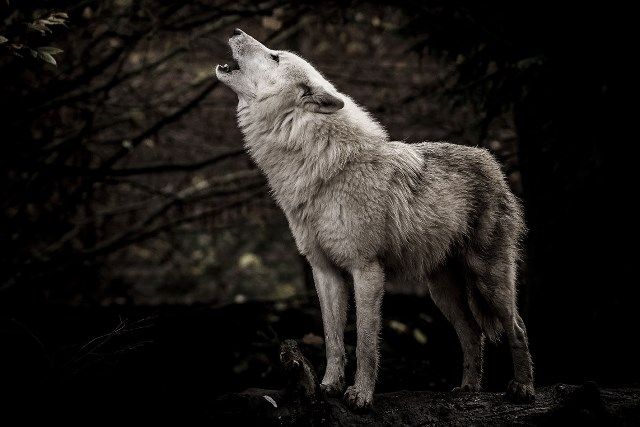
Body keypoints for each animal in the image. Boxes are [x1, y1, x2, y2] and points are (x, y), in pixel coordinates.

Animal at [216, 29, 535, 410]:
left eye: (275, 56)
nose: (236, 31)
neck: (322, 168)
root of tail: (490, 160)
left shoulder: (366, 269)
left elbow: (366, 342)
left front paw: (361, 396)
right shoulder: (324, 271)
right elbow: (333, 339)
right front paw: (328, 386)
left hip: (489, 279)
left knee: (517, 328)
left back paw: (523, 388)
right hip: (441, 290)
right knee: (473, 333)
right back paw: (469, 389)